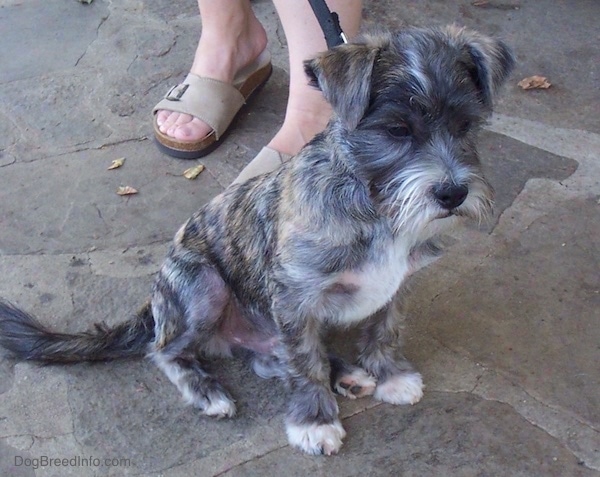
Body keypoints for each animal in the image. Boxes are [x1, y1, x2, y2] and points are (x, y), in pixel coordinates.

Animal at [1, 26, 516, 454]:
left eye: (466, 126)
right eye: (396, 130)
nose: (453, 193)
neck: (374, 207)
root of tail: (154, 305)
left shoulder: (394, 287)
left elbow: (382, 331)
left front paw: (387, 375)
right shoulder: (293, 298)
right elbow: (305, 364)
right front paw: (314, 423)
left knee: (272, 359)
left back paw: (349, 374)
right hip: (203, 286)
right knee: (167, 351)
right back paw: (208, 391)